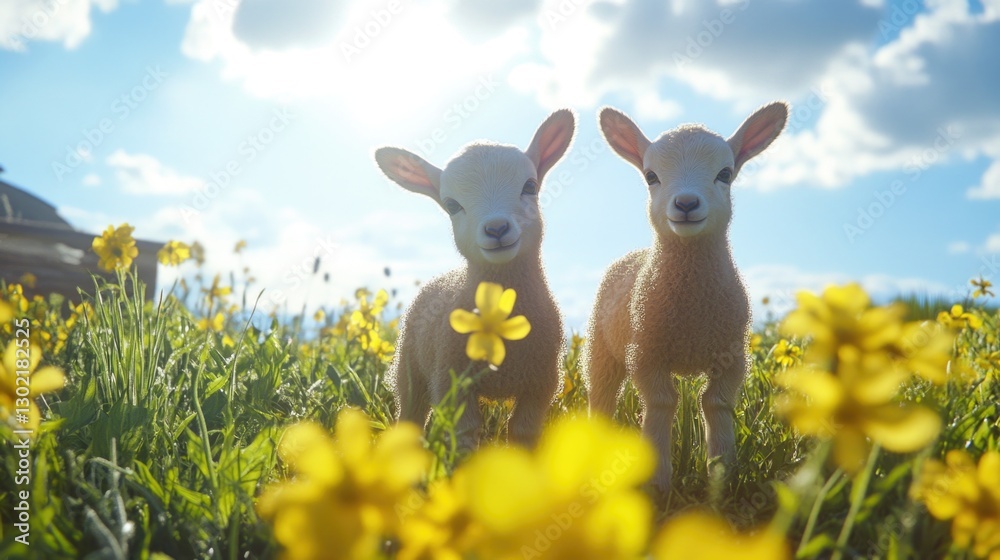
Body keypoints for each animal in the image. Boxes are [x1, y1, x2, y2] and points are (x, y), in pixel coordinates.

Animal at [374, 109, 575, 450]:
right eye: (452, 205)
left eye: (530, 186)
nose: (496, 229)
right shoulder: (451, 381)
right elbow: (465, 436)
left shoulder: (542, 384)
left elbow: (523, 432)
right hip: (409, 367)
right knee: (410, 415)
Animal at [583, 102, 788, 492]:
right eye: (651, 176)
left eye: (725, 173)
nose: (687, 203)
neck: (693, 305)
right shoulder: (645, 353)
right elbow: (661, 403)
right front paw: (658, 482)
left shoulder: (732, 356)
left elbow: (716, 403)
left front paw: (722, 476)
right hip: (601, 347)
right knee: (601, 397)